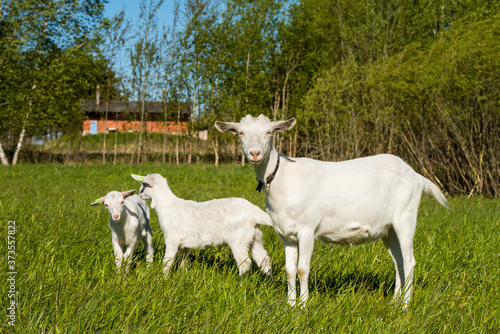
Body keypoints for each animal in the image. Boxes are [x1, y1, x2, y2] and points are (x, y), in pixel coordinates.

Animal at [130, 172, 274, 280]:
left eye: (144, 185)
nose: (140, 194)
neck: (169, 206)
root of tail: (254, 211)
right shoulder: (185, 245)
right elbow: (182, 261)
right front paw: (182, 277)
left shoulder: (172, 239)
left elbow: (167, 261)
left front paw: (162, 279)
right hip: (254, 237)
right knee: (264, 259)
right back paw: (269, 282)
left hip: (238, 240)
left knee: (245, 263)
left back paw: (242, 286)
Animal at [215, 114, 450, 308]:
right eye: (241, 133)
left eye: (269, 132)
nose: (255, 153)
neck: (283, 178)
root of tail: (416, 176)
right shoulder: (286, 234)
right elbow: (290, 270)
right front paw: (290, 305)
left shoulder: (307, 229)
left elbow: (302, 269)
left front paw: (303, 306)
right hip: (388, 229)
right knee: (398, 261)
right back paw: (394, 301)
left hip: (405, 218)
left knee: (409, 262)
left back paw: (405, 306)